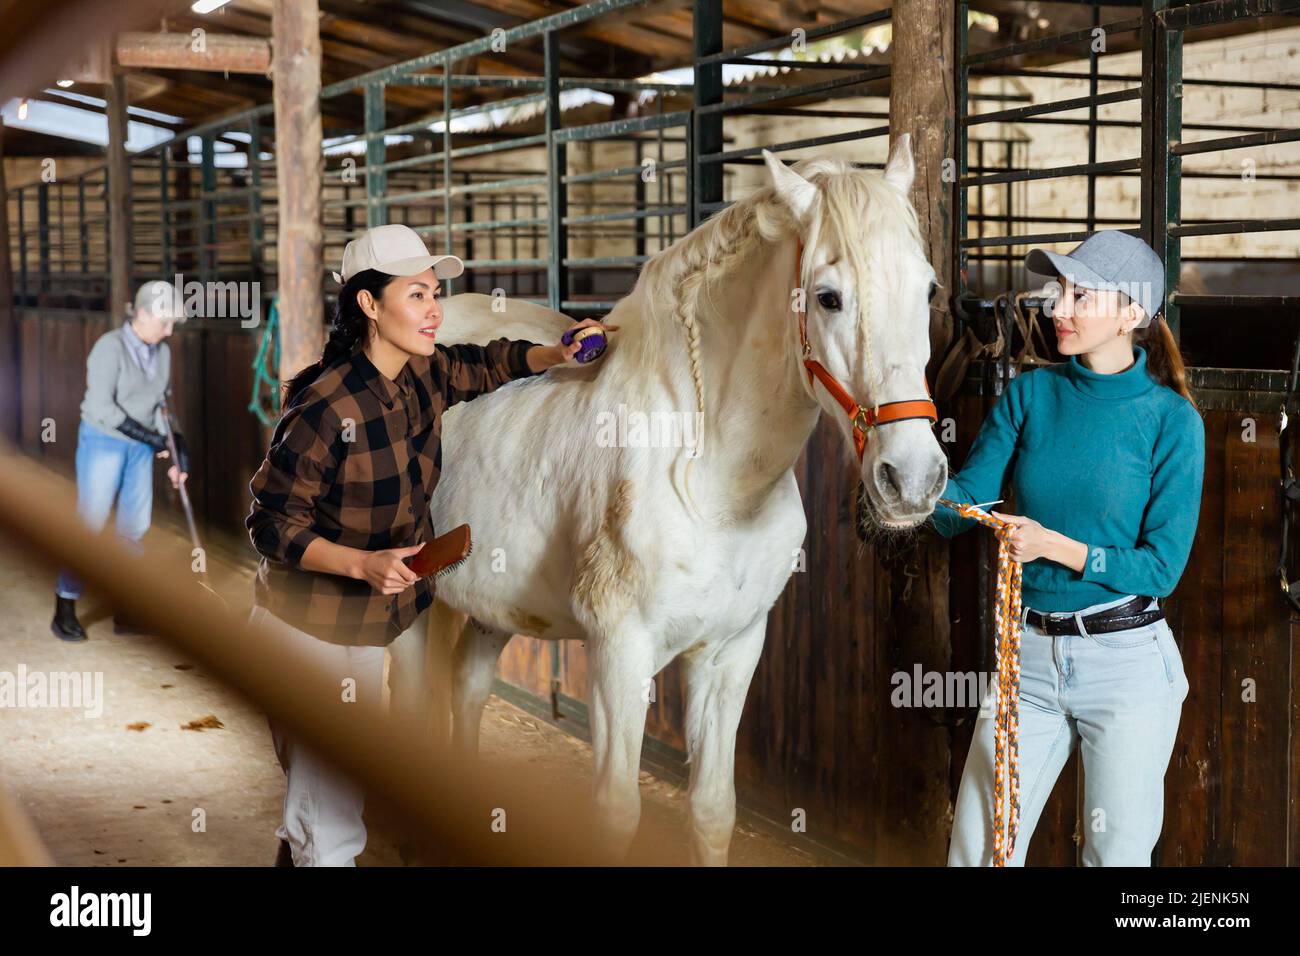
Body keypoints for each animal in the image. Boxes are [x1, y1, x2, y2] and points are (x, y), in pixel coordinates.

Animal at [387, 135, 948, 865]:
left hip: (491, 608)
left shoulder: (731, 650)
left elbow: (711, 810)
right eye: (828, 297)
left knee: (465, 696)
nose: (913, 477)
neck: (709, 478)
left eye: (929, 289)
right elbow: (615, 812)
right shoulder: (619, 656)